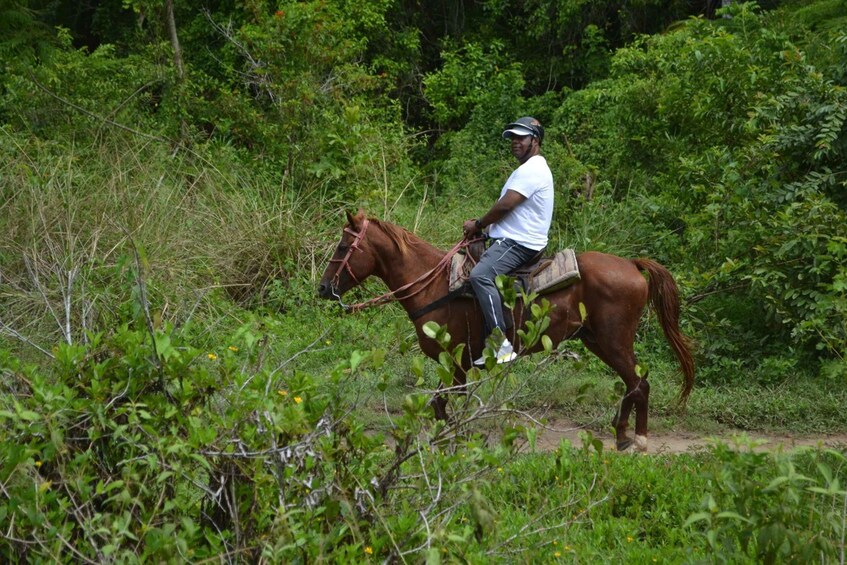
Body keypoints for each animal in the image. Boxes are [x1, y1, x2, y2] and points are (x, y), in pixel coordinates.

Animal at [318, 209, 696, 452]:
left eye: (342, 247)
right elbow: (441, 406)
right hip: (598, 341)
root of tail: (632, 265)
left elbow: (441, 406)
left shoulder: (456, 363)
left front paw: (453, 444)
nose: (323, 289)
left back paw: (638, 439)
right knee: (634, 383)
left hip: (613, 341)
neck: (435, 285)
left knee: (639, 382)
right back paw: (622, 436)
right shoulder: (456, 366)